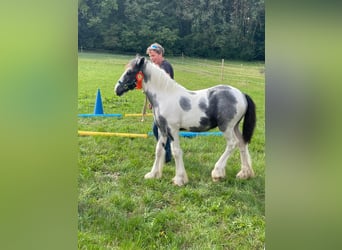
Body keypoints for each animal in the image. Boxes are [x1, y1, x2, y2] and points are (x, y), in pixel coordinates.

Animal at [115, 56, 256, 186]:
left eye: (129, 72)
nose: (117, 89)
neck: (165, 96)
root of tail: (242, 94)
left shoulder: (172, 130)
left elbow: (176, 151)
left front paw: (179, 179)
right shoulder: (162, 130)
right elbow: (159, 150)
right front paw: (153, 174)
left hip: (226, 127)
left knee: (232, 144)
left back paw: (217, 173)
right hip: (235, 127)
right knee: (242, 143)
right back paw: (244, 174)